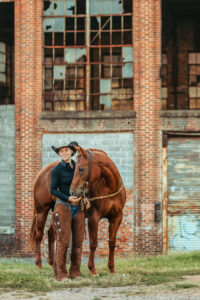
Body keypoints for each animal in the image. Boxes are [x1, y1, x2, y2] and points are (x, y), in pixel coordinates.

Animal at [29, 145, 126, 274]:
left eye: (80, 168)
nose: (72, 192)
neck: (110, 187)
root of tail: (41, 173)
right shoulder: (93, 217)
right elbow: (93, 243)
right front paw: (92, 270)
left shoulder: (117, 217)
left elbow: (112, 242)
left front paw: (112, 269)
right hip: (41, 211)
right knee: (39, 235)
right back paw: (39, 264)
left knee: (51, 233)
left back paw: (53, 263)